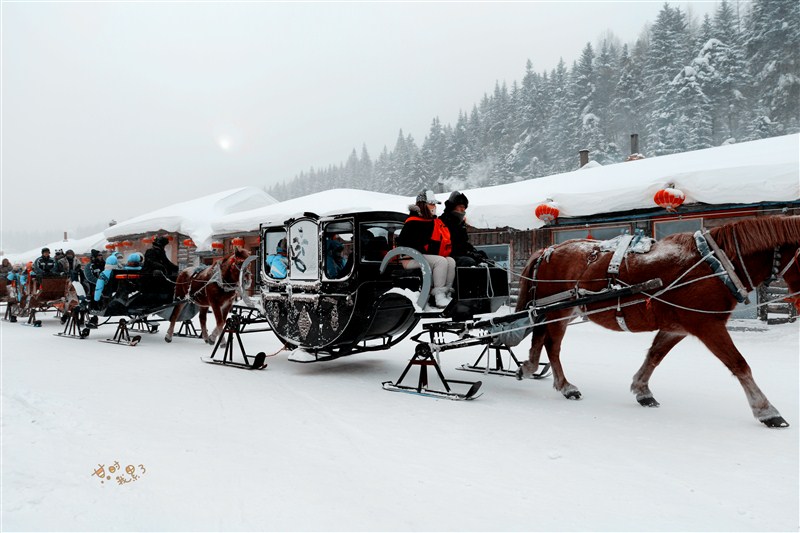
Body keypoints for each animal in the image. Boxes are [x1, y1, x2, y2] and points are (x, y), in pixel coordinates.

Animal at [516, 214, 796, 426]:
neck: (716, 266)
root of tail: (547, 250)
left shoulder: (677, 327)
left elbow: (655, 355)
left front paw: (642, 390)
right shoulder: (708, 325)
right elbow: (739, 364)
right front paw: (766, 411)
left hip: (555, 310)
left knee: (539, 340)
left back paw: (530, 367)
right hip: (558, 312)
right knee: (552, 346)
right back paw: (565, 386)